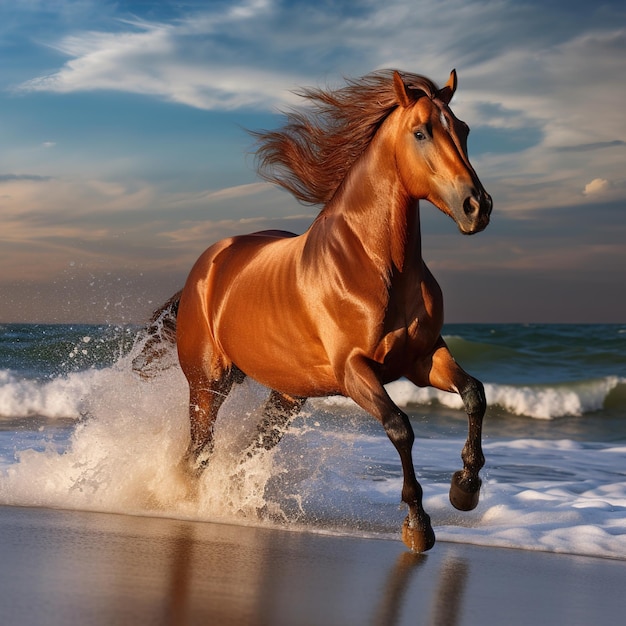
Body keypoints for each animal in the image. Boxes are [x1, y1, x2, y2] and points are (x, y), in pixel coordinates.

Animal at [141, 69, 492, 552]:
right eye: (421, 132)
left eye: (464, 129)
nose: (477, 206)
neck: (374, 264)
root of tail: (207, 265)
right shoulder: (354, 371)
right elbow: (400, 426)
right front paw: (418, 524)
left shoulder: (422, 359)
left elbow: (475, 393)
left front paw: (465, 489)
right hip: (207, 384)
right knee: (199, 453)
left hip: (287, 396)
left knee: (247, 451)